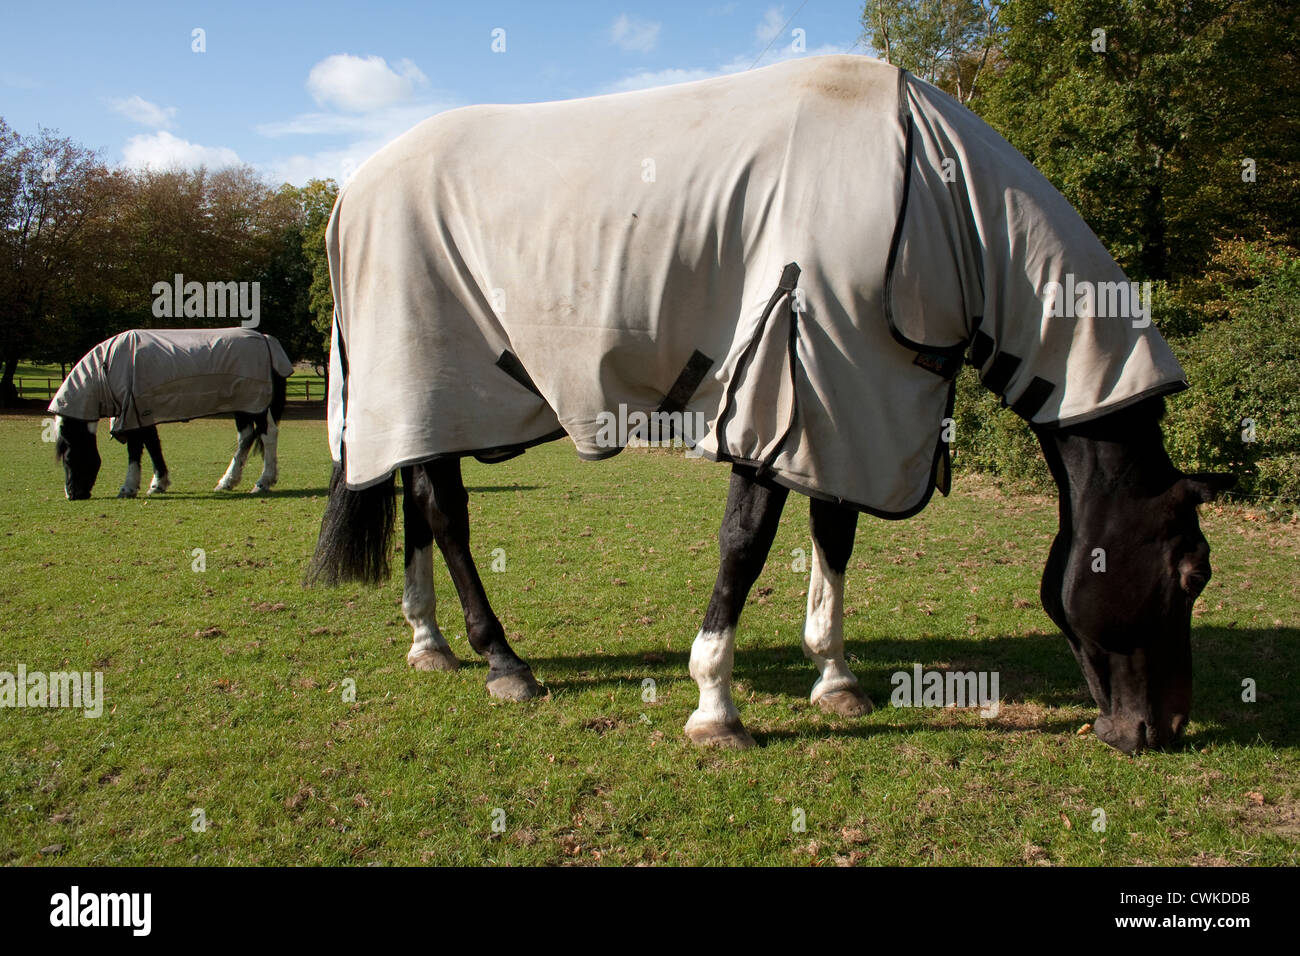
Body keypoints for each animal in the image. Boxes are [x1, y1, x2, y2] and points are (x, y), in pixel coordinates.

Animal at [51, 327, 292, 496]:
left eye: (69, 457)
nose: (72, 494)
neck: (108, 368)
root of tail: (266, 340)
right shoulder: (141, 414)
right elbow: (151, 446)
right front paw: (158, 484)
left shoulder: (135, 413)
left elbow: (137, 449)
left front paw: (129, 487)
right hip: (243, 405)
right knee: (246, 437)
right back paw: (227, 481)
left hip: (257, 405)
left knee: (268, 435)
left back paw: (263, 482)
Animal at [304, 57, 1227, 754]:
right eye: (1192, 573)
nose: (1157, 729)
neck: (925, 196)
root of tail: (351, 193)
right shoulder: (780, 390)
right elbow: (744, 546)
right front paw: (715, 706)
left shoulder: (855, 401)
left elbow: (834, 538)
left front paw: (836, 679)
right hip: (425, 380)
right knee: (446, 515)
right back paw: (503, 660)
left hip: (423, 405)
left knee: (420, 501)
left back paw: (431, 644)